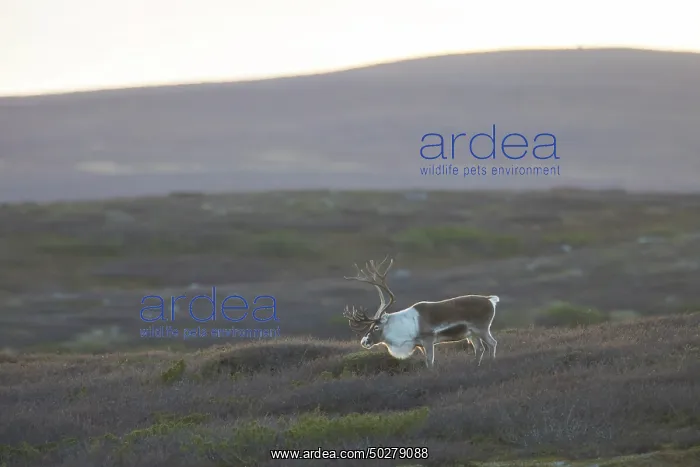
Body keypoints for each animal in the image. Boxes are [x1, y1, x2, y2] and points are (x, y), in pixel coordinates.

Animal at [343, 256, 499, 368]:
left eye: (375, 327)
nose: (364, 341)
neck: (401, 328)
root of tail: (490, 300)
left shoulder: (428, 339)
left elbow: (430, 361)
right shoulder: (420, 345)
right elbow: (426, 361)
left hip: (482, 328)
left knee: (492, 343)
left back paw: (492, 364)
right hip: (471, 333)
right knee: (479, 349)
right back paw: (476, 365)